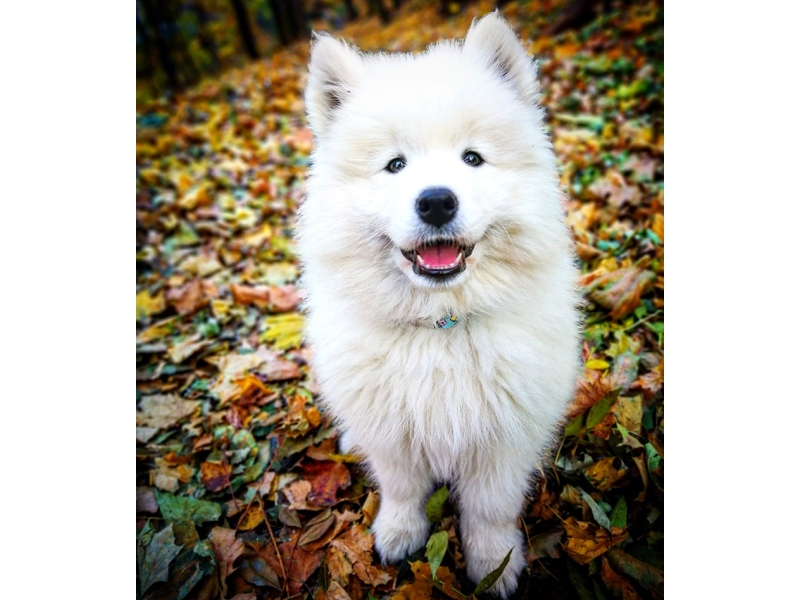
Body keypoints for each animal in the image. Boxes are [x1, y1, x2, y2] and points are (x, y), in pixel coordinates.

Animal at [296, 11, 580, 596]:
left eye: (473, 158)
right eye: (394, 165)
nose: (436, 201)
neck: (441, 326)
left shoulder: (502, 440)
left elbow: (489, 509)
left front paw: (493, 565)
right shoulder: (394, 432)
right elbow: (402, 488)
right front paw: (398, 532)